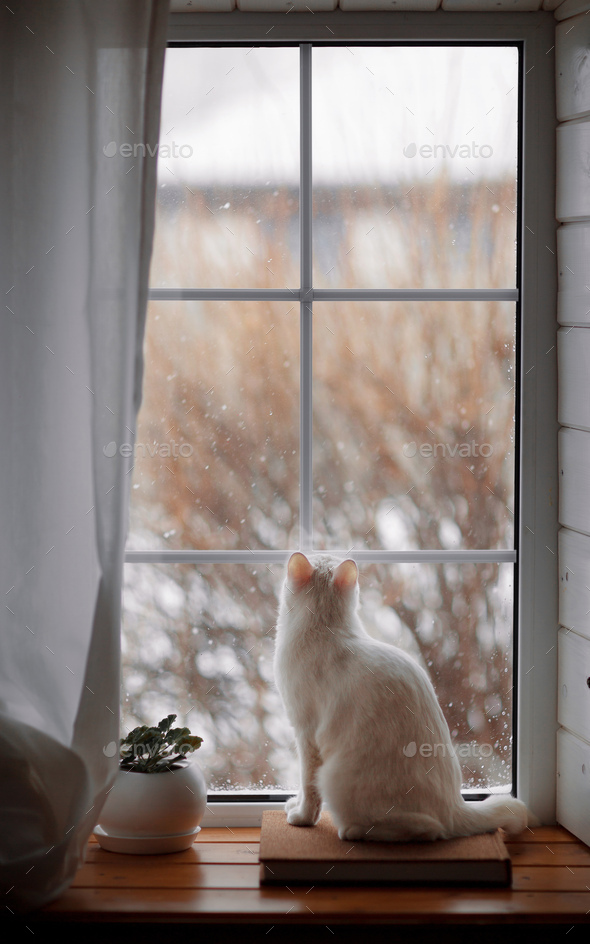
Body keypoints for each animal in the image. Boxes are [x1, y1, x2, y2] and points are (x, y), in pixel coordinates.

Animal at [276, 548, 536, 844]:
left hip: (335, 777)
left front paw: (301, 817)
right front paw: (293, 804)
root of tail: (455, 806)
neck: (325, 628)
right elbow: (303, 788)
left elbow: (308, 787)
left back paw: (354, 832)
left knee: (427, 829)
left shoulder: (306, 734)